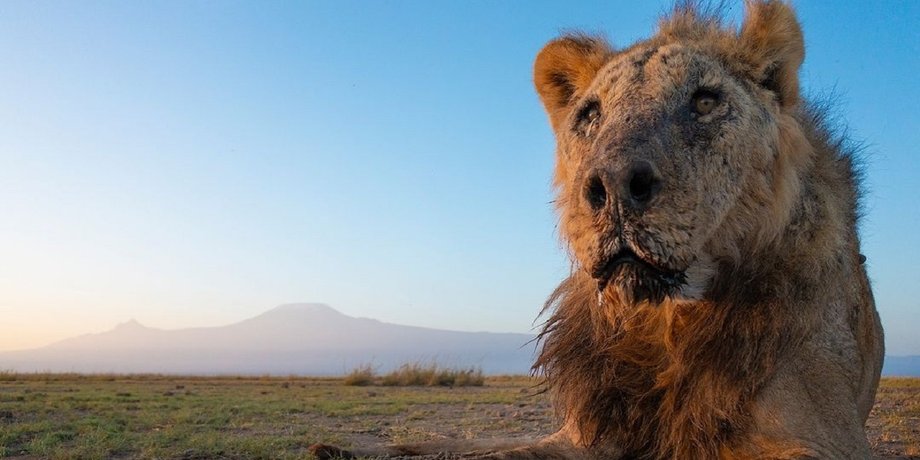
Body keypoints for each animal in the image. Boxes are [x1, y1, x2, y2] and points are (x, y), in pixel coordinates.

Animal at [310, 1, 884, 459]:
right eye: (589, 114)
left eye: (705, 101)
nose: (611, 186)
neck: (663, 322)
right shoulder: (584, 435)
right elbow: (496, 452)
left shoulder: (822, 439)